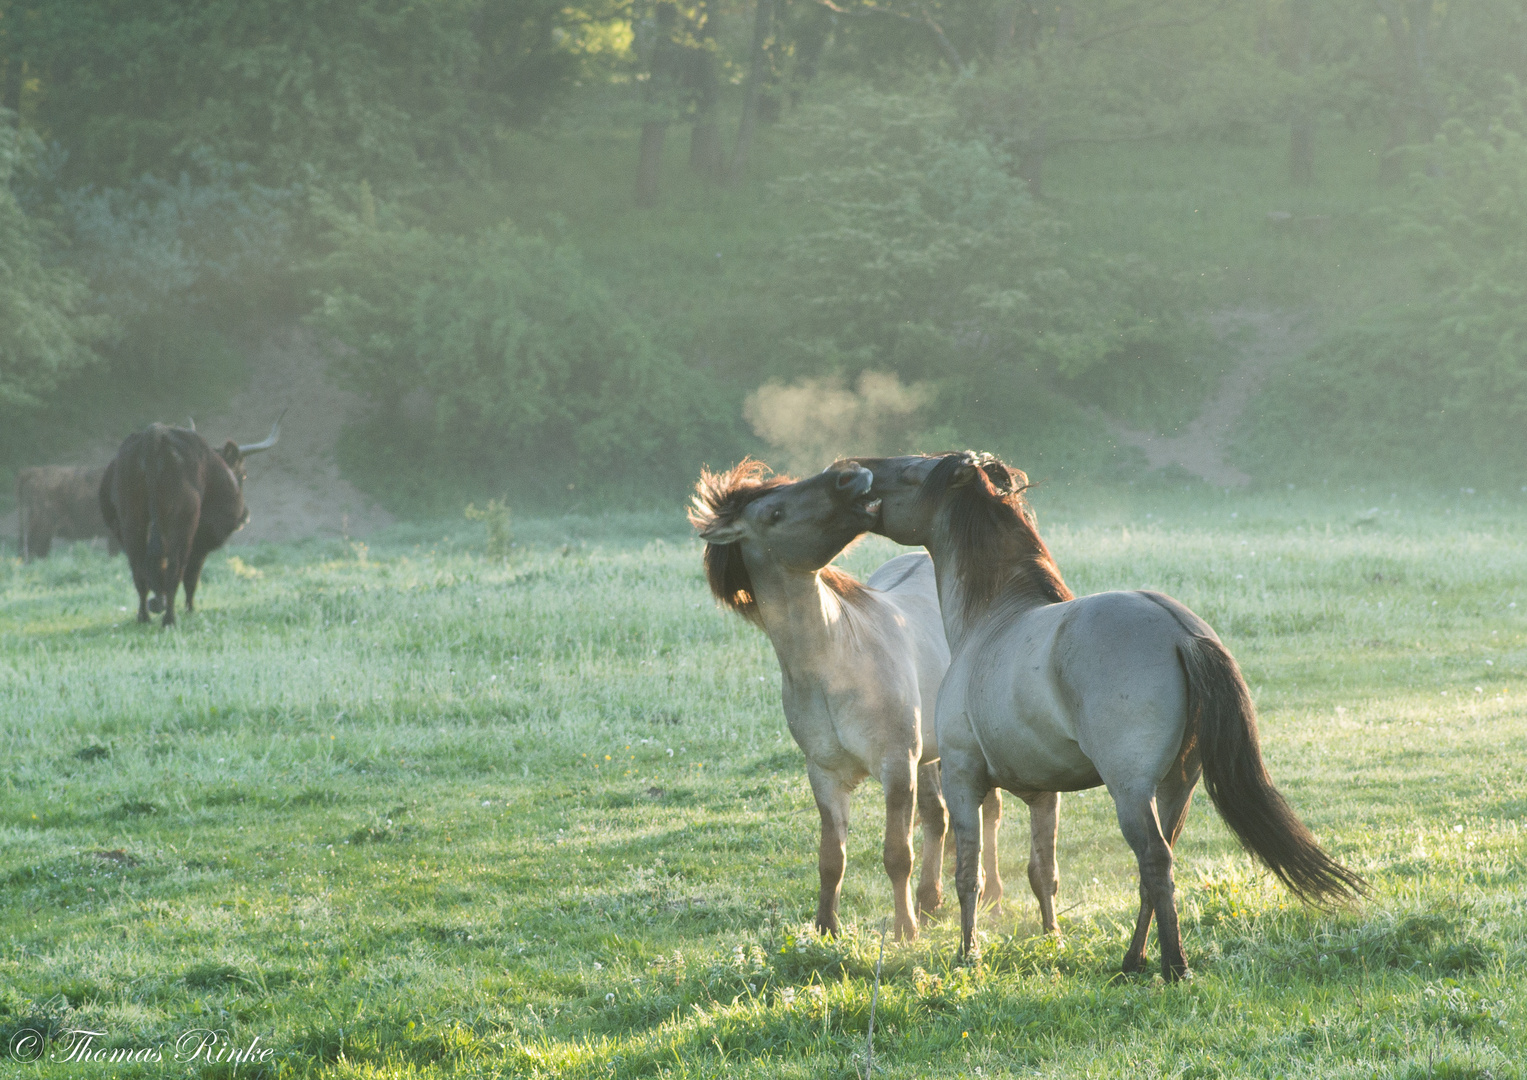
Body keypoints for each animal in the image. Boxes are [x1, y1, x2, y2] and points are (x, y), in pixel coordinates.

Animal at [98, 421, 280, 629]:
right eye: (243, 475)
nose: (245, 515)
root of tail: (156, 433)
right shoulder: (201, 543)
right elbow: (191, 577)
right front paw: (190, 610)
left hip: (132, 523)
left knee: (139, 570)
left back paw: (144, 616)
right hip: (182, 528)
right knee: (175, 571)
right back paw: (169, 619)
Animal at [693, 461, 1062, 940]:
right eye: (775, 512)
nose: (848, 474)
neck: (832, 667)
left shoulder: (896, 767)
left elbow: (896, 855)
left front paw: (905, 930)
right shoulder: (825, 776)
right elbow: (832, 859)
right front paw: (827, 927)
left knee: (987, 814)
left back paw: (990, 896)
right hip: (930, 755)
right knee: (938, 817)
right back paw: (930, 898)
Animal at [830, 452, 1368, 977]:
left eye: (911, 472)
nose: (850, 472)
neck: (991, 620)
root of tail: (1179, 630)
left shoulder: (962, 776)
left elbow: (969, 875)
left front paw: (969, 955)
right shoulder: (1041, 789)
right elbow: (1041, 872)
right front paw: (1048, 938)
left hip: (1130, 790)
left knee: (1153, 860)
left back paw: (1174, 966)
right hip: (1177, 787)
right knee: (1157, 866)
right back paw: (1134, 960)